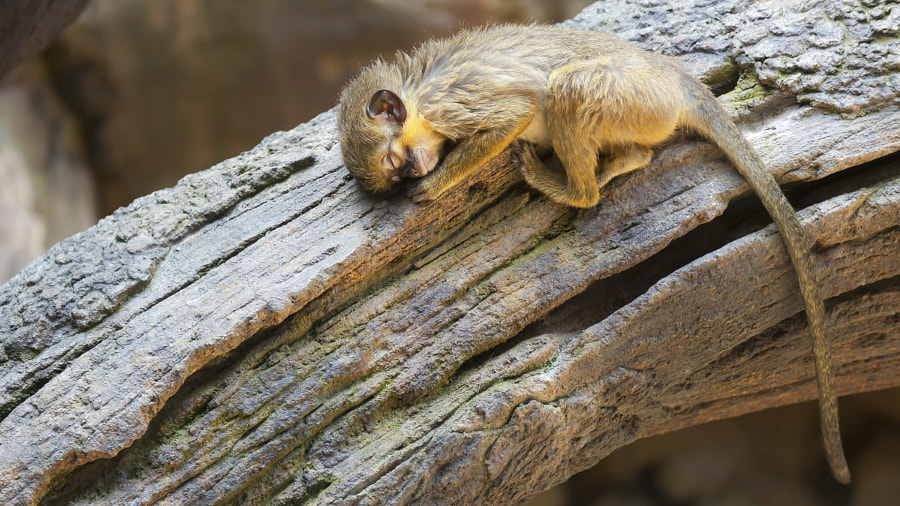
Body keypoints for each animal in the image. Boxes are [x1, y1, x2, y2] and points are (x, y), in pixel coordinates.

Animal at [336, 23, 850, 483]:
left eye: (396, 163)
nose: (413, 173)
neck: (418, 95)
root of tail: (674, 81)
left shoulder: (451, 103)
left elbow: (516, 112)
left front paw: (436, 186)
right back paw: (628, 161)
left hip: (636, 99)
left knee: (568, 87)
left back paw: (577, 191)